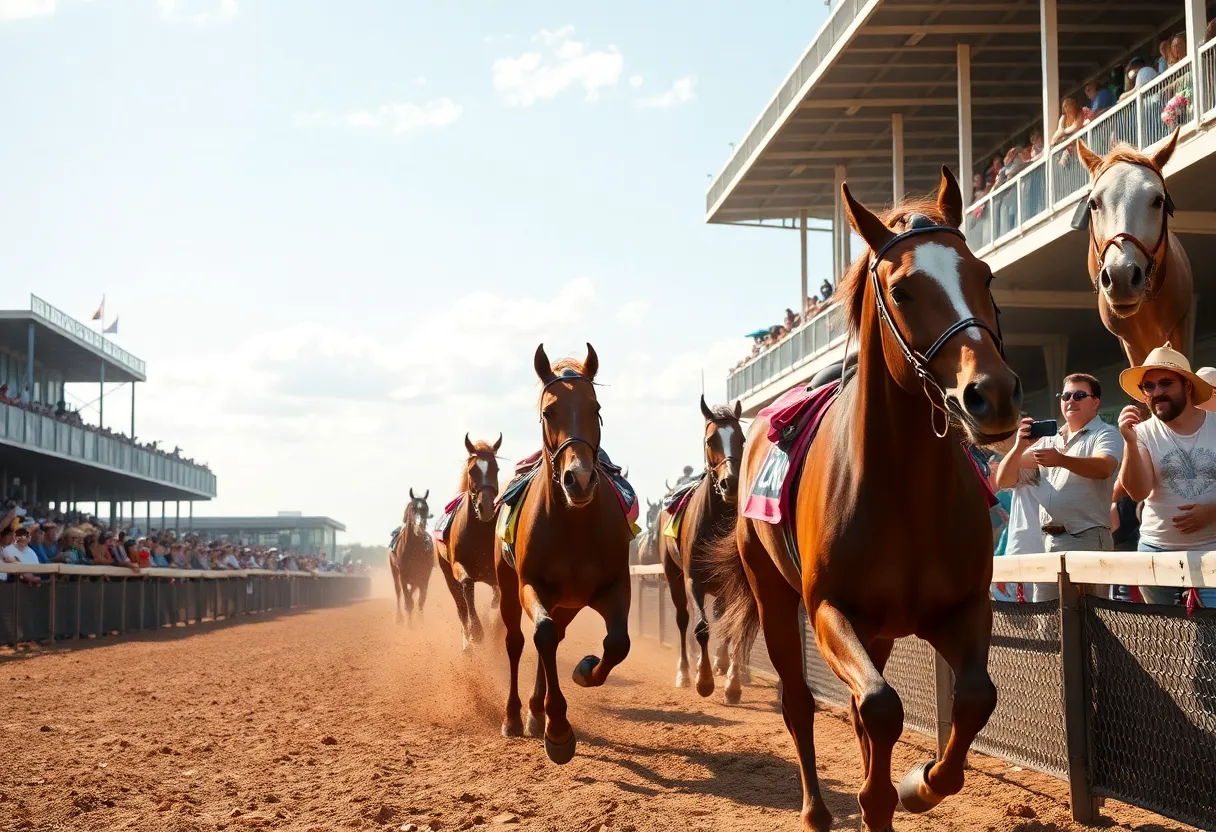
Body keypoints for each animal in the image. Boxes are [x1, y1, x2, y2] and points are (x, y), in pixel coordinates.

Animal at [390, 488, 433, 626]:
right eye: (412, 509)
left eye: (425, 508)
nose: (418, 528)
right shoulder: (403, 574)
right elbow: (408, 601)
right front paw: (410, 625)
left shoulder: (425, 575)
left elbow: (420, 600)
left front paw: (420, 622)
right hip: (394, 571)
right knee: (398, 592)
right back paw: (399, 618)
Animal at [436, 434, 504, 650]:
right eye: (473, 470)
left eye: (496, 469)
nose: (486, 507)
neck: (479, 531)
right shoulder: (459, 566)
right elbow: (467, 586)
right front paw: (477, 632)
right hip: (447, 574)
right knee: (460, 605)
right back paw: (467, 643)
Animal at [495, 343, 634, 765]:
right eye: (548, 412)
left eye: (595, 407)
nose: (581, 478)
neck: (573, 526)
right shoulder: (530, 585)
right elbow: (540, 634)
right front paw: (557, 730)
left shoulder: (614, 586)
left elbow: (618, 643)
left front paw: (585, 670)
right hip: (508, 589)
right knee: (519, 641)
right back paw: (514, 716)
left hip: (569, 602)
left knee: (555, 637)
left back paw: (534, 710)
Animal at [661, 395, 751, 702]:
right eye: (711, 440)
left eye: (742, 439)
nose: (730, 482)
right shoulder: (693, 579)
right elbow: (699, 627)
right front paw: (704, 680)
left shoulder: (737, 580)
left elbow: (734, 625)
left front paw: (733, 684)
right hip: (673, 574)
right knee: (682, 619)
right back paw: (685, 672)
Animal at [710, 167, 1021, 832]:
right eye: (902, 290)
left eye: (984, 274)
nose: (992, 394)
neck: (903, 490)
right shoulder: (831, 608)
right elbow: (879, 704)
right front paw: (881, 795)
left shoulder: (963, 605)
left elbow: (976, 697)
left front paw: (920, 784)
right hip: (775, 594)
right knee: (799, 702)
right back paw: (816, 809)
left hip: (878, 629)